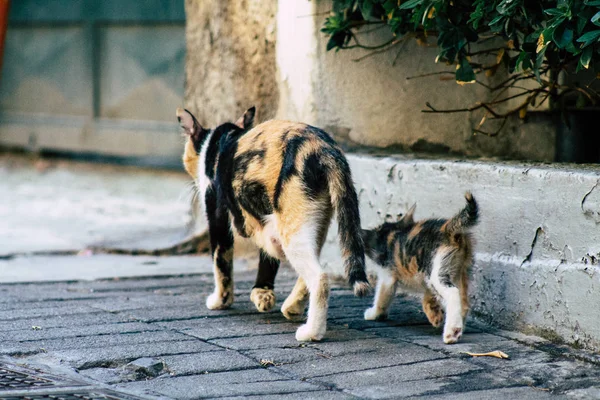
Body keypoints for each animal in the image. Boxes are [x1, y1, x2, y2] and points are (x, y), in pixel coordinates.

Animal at [176, 105, 370, 340]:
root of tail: (322, 147)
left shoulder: (217, 216)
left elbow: (221, 263)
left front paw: (220, 301)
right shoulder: (262, 223)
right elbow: (267, 261)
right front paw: (263, 293)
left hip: (291, 231)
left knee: (320, 277)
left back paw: (311, 332)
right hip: (312, 223)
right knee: (311, 266)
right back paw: (293, 307)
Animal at [360, 192, 478, 342]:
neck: (391, 235)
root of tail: (448, 230)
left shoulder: (387, 274)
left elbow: (382, 295)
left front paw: (374, 313)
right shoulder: (425, 276)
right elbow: (429, 295)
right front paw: (434, 313)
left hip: (438, 268)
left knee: (452, 293)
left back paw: (452, 331)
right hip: (460, 270)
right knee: (464, 302)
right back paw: (458, 325)